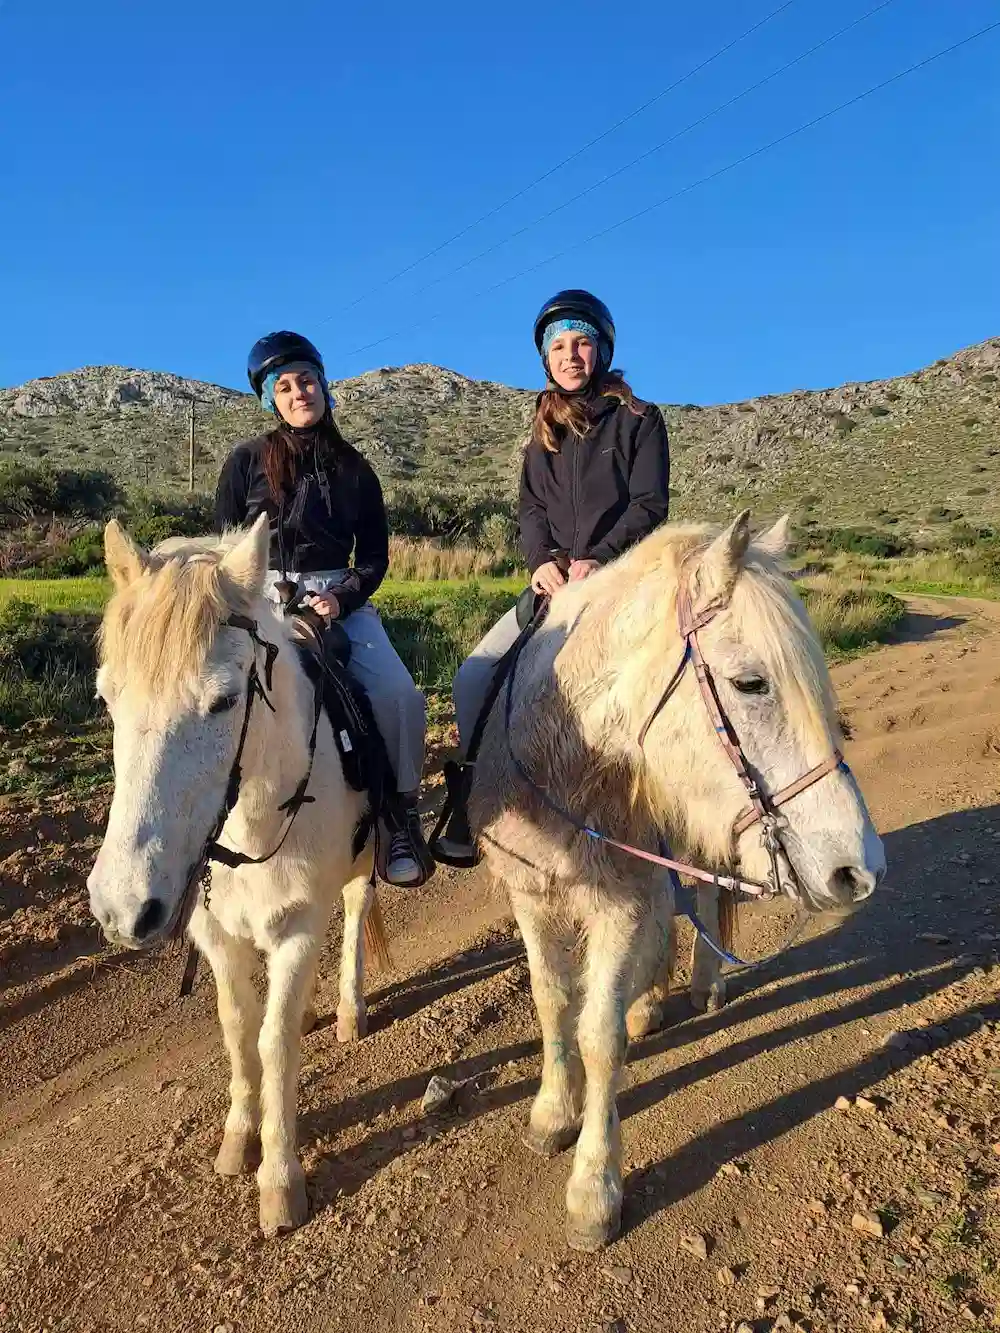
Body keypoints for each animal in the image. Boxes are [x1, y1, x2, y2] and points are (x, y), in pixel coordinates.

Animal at [88, 517, 389, 1237]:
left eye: (224, 700)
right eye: (107, 696)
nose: (121, 907)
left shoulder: (298, 929)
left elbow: (275, 1041)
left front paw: (279, 1181)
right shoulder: (218, 936)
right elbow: (237, 1028)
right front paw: (237, 1138)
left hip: (365, 863)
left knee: (356, 911)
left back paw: (348, 1010)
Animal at [472, 509, 885, 1247]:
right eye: (751, 683)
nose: (860, 867)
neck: (567, 758)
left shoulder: (621, 899)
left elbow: (599, 1035)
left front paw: (594, 1187)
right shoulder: (531, 894)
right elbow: (553, 1001)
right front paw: (552, 1112)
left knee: (705, 890)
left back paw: (699, 985)